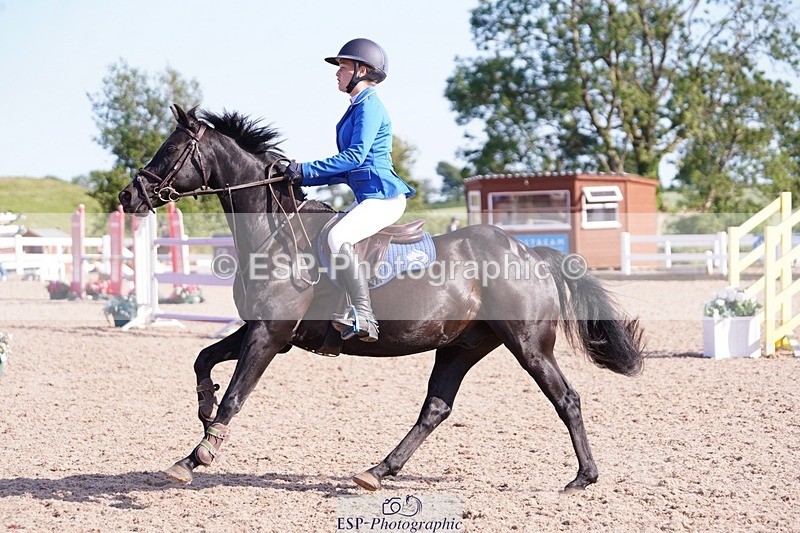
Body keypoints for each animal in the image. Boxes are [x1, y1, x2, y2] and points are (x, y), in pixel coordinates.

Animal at [118, 104, 645, 492]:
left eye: (170, 149)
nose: (128, 196)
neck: (273, 234)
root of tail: (529, 252)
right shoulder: (260, 329)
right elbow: (203, 360)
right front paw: (202, 414)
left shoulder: (269, 334)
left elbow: (235, 397)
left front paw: (199, 455)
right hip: (461, 346)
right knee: (436, 408)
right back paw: (377, 471)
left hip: (529, 345)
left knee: (566, 398)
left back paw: (583, 478)